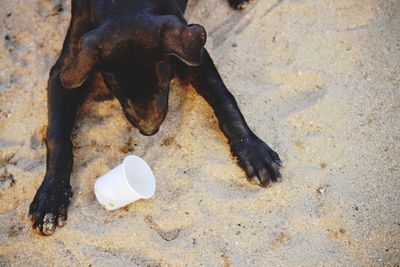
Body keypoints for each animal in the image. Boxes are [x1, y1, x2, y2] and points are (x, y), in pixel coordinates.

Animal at [28, 0, 282, 237]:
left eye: (162, 86)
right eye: (122, 95)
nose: (149, 131)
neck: (122, 5)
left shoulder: (195, 56)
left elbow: (224, 98)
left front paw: (252, 150)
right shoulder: (65, 69)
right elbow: (57, 137)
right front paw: (51, 197)